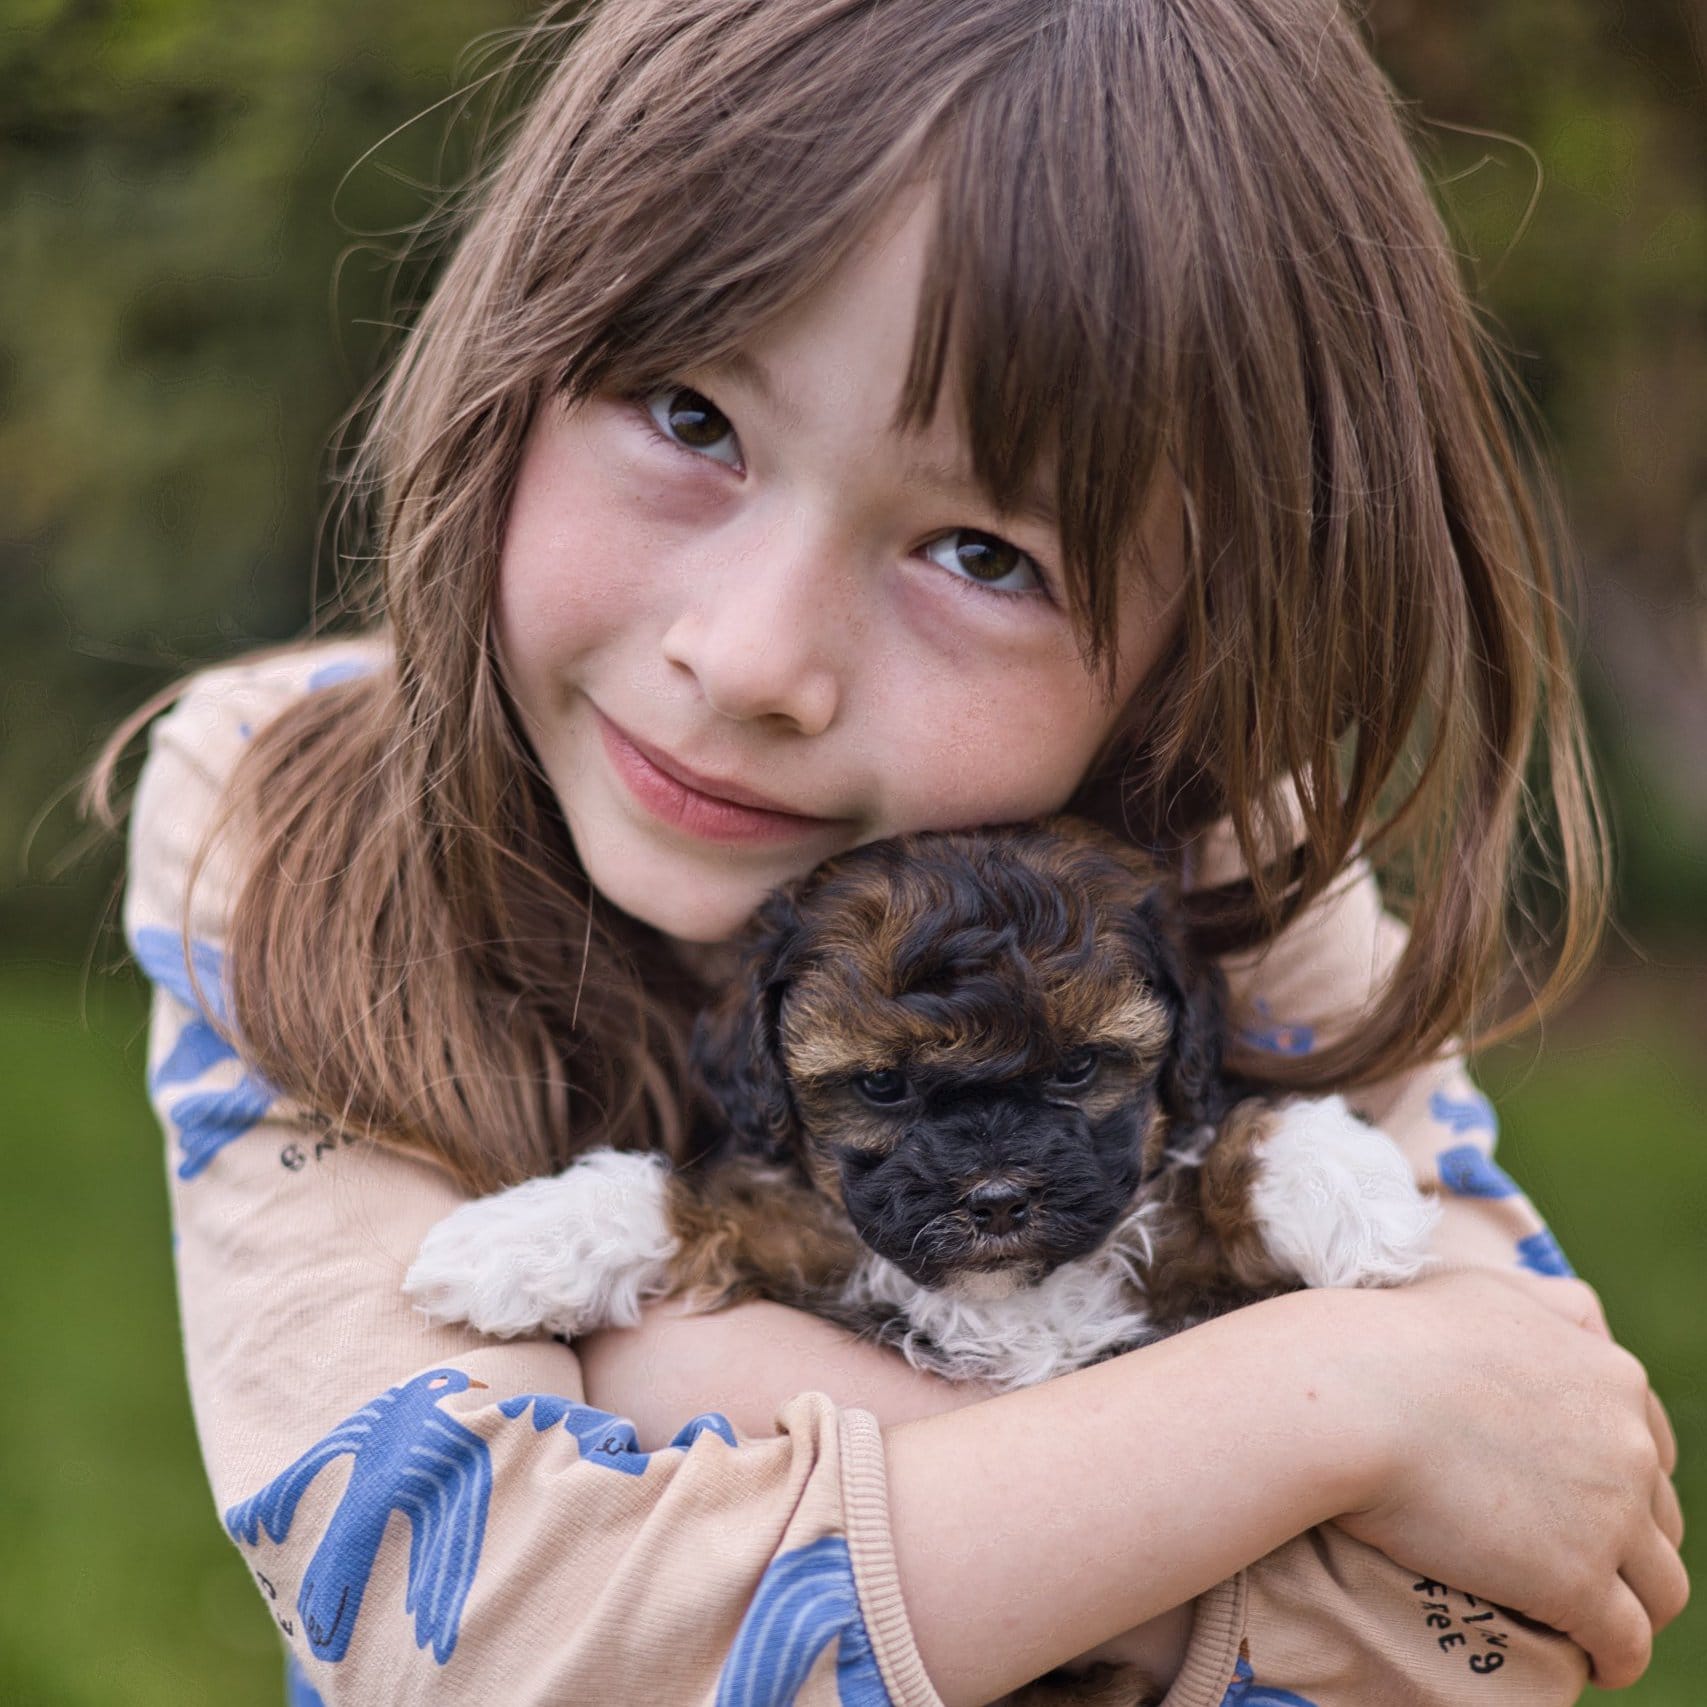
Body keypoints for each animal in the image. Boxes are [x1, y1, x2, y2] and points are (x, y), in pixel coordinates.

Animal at [406, 819, 1433, 1392]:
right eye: (880, 1083)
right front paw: (514, 1240)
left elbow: (1243, 1142)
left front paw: (1354, 1191)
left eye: (1077, 1067)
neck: (1008, 1299)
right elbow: (695, 1196)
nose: (996, 1201)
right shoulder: (804, 1248)